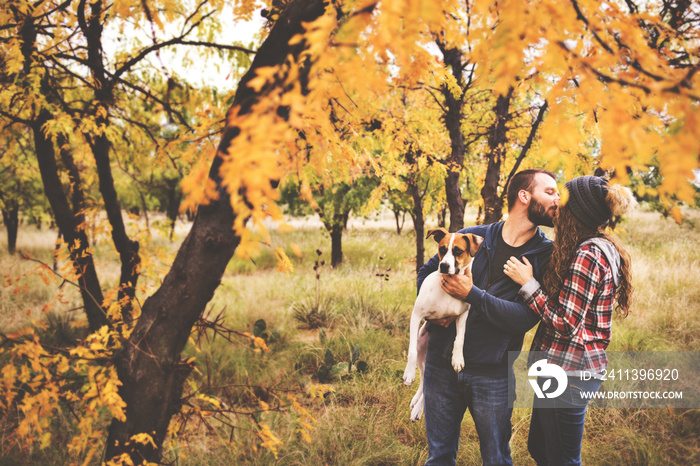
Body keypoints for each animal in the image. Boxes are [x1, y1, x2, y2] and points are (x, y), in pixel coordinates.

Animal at [404, 228, 482, 420]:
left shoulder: (463, 315)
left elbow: (459, 339)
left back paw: (418, 407)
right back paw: (416, 402)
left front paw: (457, 359)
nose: (444, 266)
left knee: (426, 383)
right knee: (423, 377)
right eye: (442, 249)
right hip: (422, 349)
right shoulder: (416, 315)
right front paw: (408, 374)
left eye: (458, 251)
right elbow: (410, 350)